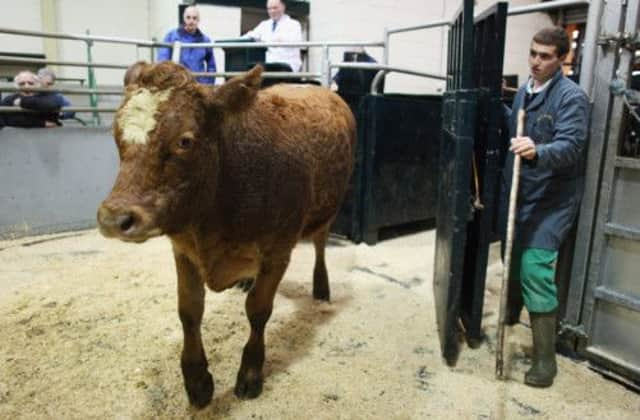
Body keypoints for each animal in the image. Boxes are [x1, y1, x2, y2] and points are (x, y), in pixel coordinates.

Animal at [96, 61, 356, 406]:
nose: (115, 218)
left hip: (328, 212)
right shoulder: (184, 250)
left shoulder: (278, 250)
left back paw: (321, 287)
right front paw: (197, 380)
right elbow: (189, 311)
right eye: (116, 134)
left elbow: (258, 310)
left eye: (185, 141)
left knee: (320, 246)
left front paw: (250, 373)